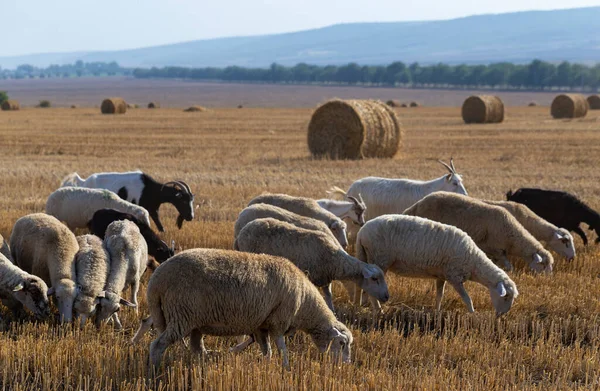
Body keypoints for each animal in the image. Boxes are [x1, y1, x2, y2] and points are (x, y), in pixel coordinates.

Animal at [60, 170, 195, 231]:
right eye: (183, 200)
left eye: (191, 200)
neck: (148, 189)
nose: (190, 217)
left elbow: (160, 227)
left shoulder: (152, 209)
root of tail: (84, 181)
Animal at [131, 248, 354, 370]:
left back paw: (204, 364)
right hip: (182, 315)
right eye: (342, 343)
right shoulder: (278, 321)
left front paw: (267, 365)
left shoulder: (261, 325)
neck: (305, 306)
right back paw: (154, 370)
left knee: (196, 347)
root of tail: (156, 281)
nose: (346, 364)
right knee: (158, 345)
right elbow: (281, 347)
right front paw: (287, 367)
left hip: (192, 321)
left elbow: (267, 350)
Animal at [234, 217, 390, 312]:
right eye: (375, 279)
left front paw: (333, 313)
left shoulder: (325, 278)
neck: (335, 260)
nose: (387, 297)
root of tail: (244, 230)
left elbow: (329, 297)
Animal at [354, 214, 516, 316]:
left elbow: (440, 295)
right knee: (373, 287)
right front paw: (473, 315)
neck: (474, 262)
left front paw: (437, 311)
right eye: (506, 297)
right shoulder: (454, 277)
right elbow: (467, 299)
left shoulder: (441, 275)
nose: (502, 315)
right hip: (380, 258)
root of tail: (361, 232)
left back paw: (361, 305)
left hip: (366, 255)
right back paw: (379, 310)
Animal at [404, 192, 552, 272]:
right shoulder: (496, 249)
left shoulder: (497, 252)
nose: (548, 279)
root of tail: (418, 204)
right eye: (544, 265)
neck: (512, 237)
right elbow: (509, 267)